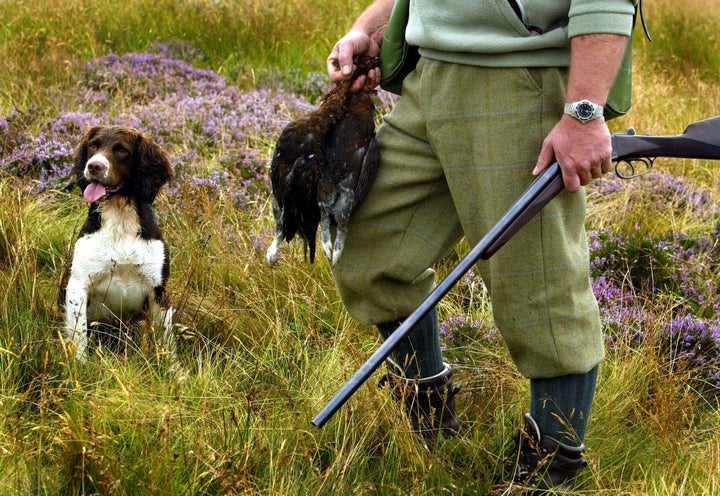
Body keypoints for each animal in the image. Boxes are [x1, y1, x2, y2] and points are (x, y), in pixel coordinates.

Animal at [60, 126, 176, 360]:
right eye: (93, 145)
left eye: (122, 150)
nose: (93, 166)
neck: (120, 220)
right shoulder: (78, 284)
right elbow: (79, 335)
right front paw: (80, 365)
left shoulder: (158, 289)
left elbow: (166, 341)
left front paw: (173, 368)